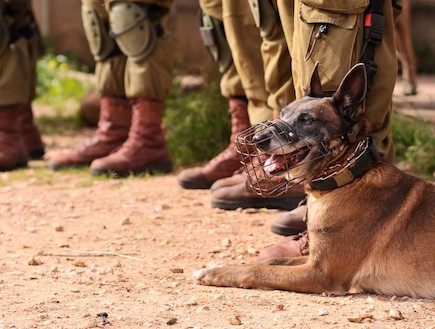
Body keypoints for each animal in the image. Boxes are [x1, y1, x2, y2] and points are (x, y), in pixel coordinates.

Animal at [196, 61, 435, 298]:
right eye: (283, 114)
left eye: (307, 120)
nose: (257, 139)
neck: (347, 179)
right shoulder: (311, 260)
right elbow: (271, 261)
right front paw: (219, 267)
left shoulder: (321, 273)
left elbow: (259, 270)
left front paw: (214, 273)